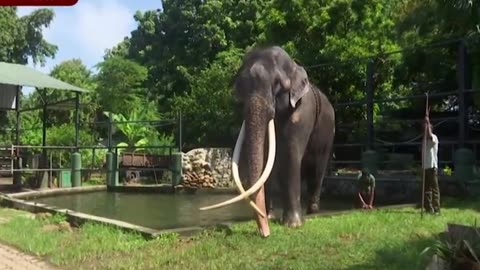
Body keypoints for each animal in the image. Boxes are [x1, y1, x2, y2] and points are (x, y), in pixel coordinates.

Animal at [201, 46, 336, 236]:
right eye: (240, 87)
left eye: (277, 84)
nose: (265, 234)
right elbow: (266, 159)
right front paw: (271, 217)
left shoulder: (302, 114)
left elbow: (291, 156)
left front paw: (293, 225)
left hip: (328, 132)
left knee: (318, 167)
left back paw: (312, 210)